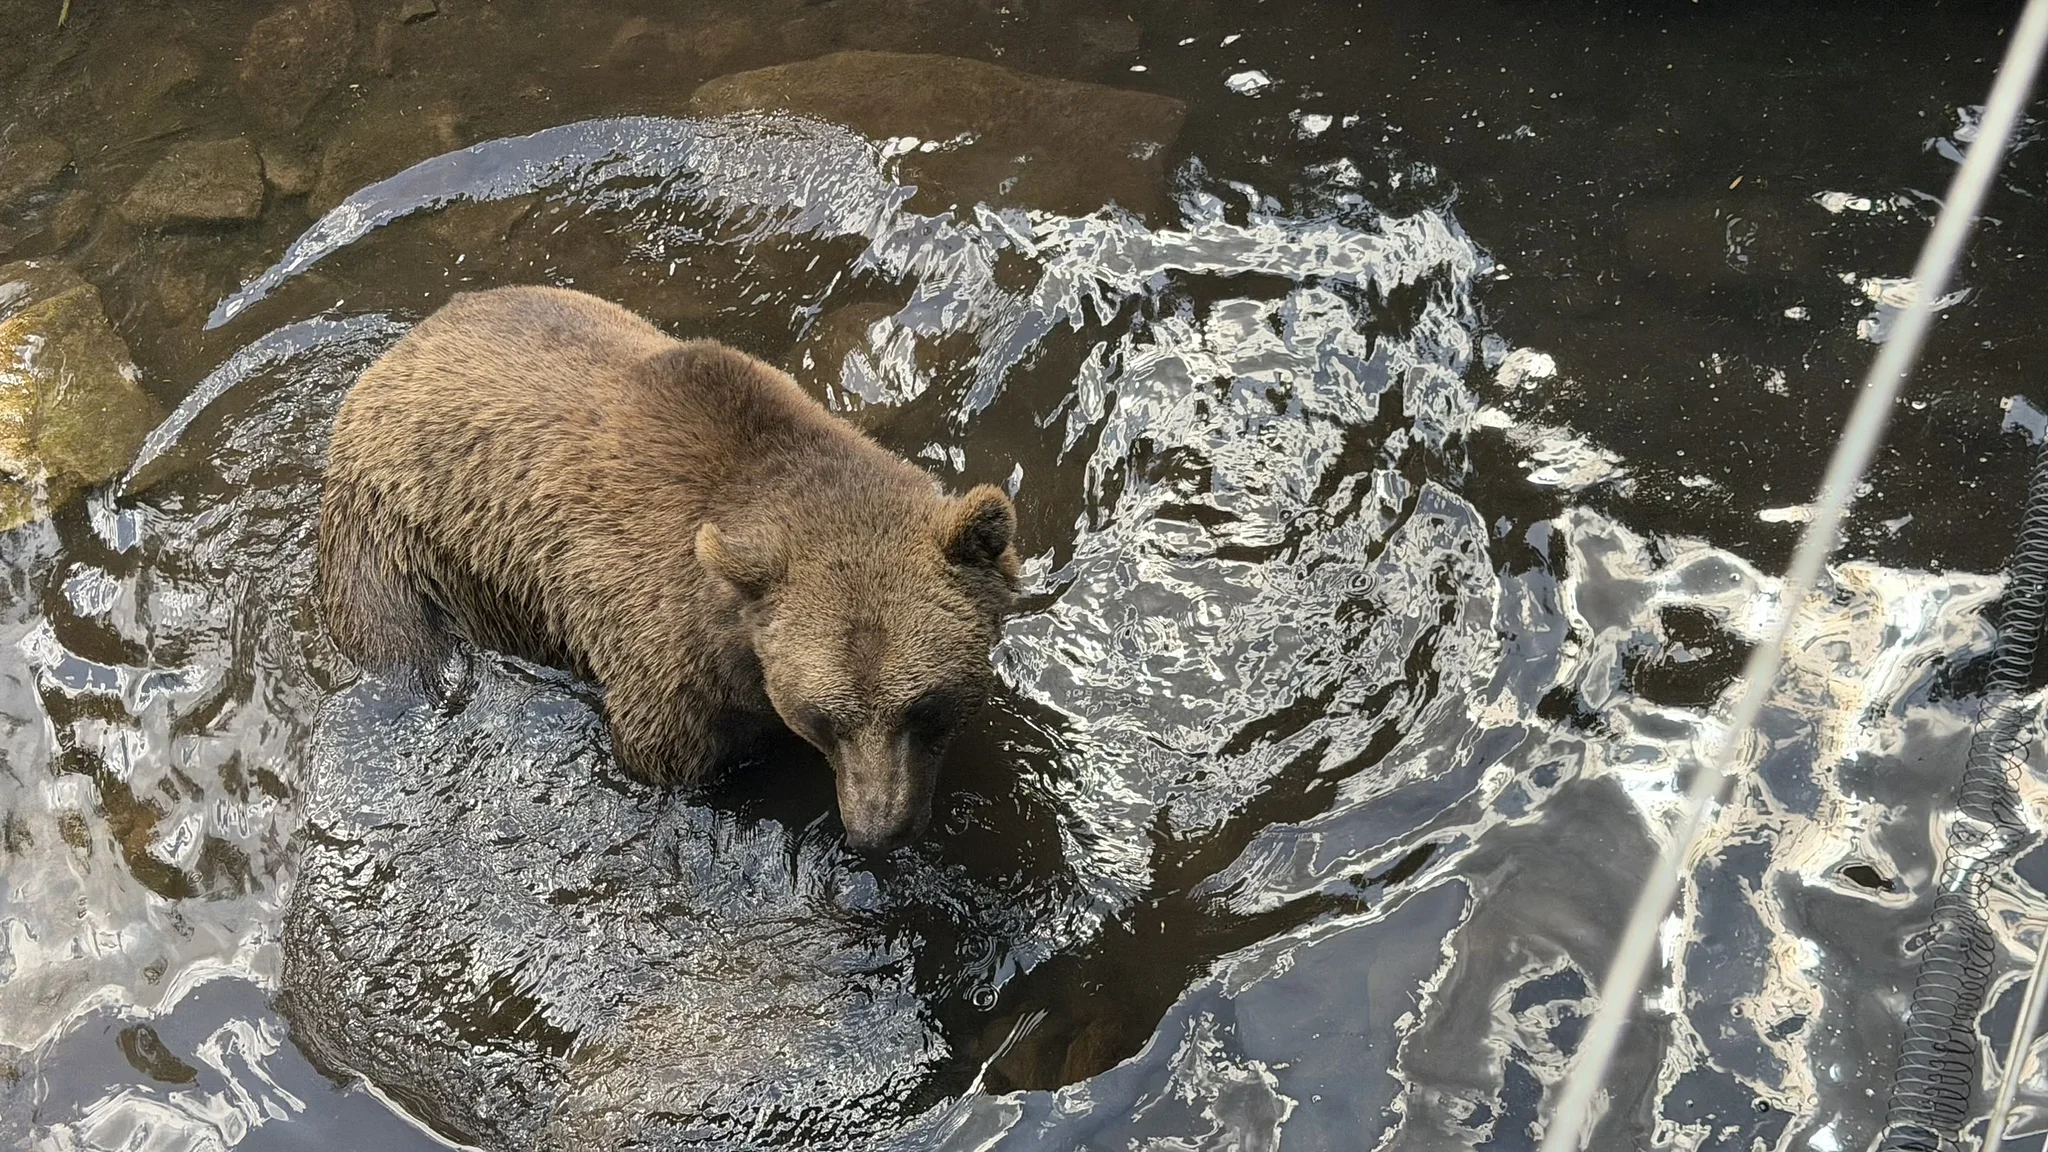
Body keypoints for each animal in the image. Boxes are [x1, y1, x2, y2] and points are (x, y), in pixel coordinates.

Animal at [317, 285, 1020, 852]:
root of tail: (403, 344)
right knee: (395, 644)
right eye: (823, 717)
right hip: (391, 542)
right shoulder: (661, 656)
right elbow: (662, 758)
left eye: (924, 705)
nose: (878, 830)